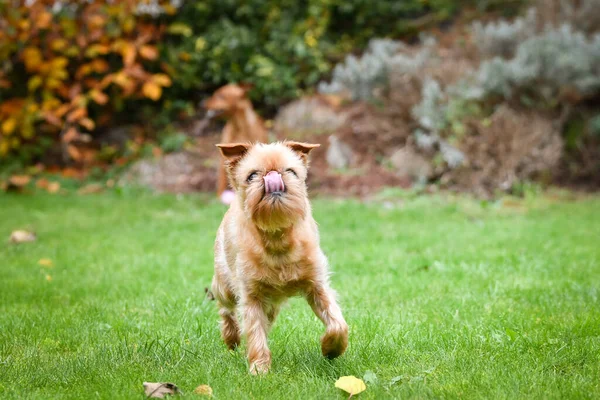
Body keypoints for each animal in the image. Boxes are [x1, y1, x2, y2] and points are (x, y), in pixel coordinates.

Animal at [212, 142, 350, 374]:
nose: (272, 176)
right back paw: (231, 337)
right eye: (252, 175)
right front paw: (259, 369)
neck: (277, 236)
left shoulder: (317, 286)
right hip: (224, 284)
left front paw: (331, 349)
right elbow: (255, 332)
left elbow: (338, 324)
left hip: (271, 304)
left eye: (291, 171)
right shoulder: (251, 297)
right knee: (226, 309)